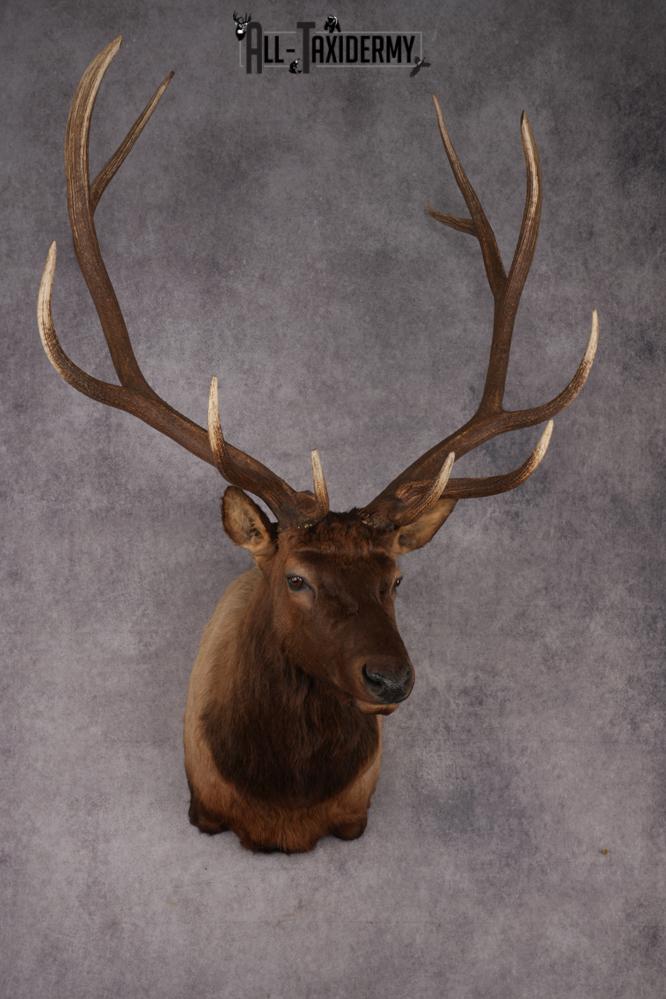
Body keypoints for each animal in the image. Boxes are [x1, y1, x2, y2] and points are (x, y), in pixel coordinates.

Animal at [37, 38, 598, 853]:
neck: (285, 809)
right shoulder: (203, 804)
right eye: (296, 577)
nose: (390, 679)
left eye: (398, 578)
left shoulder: (356, 815)